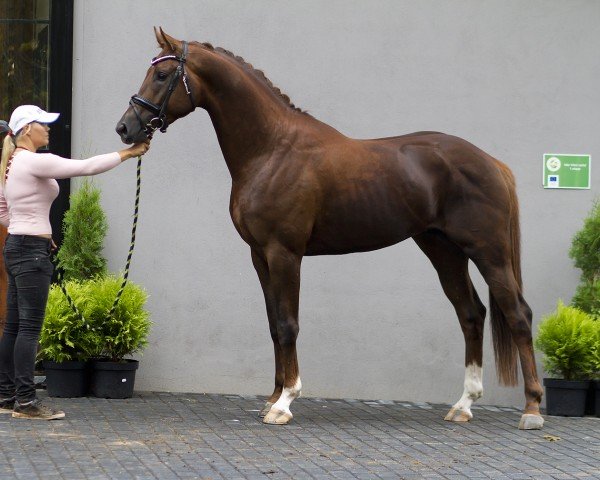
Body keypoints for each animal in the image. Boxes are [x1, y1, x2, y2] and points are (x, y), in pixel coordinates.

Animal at [116, 28, 544, 430]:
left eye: (162, 74)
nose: (125, 128)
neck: (272, 149)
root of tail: (492, 163)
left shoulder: (284, 253)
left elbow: (288, 324)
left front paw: (286, 403)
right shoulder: (259, 256)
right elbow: (273, 326)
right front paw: (271, 398)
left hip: (488, 252)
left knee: (518, 315)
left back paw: (532, 409)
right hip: (443, 250)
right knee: (471, 314)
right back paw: (463, 405)